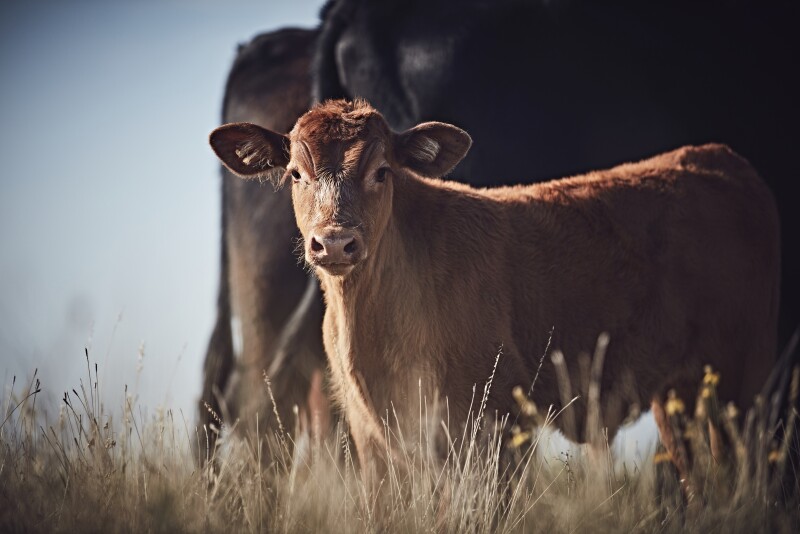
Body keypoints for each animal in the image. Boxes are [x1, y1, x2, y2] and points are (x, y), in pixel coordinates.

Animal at [208, 99, 781, 496]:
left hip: (744, 380)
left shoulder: (492, 423)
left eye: (382, 171)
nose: (334, 241)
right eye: (295, 173)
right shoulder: (372, 435)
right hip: (680, 391)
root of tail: (714, 157)